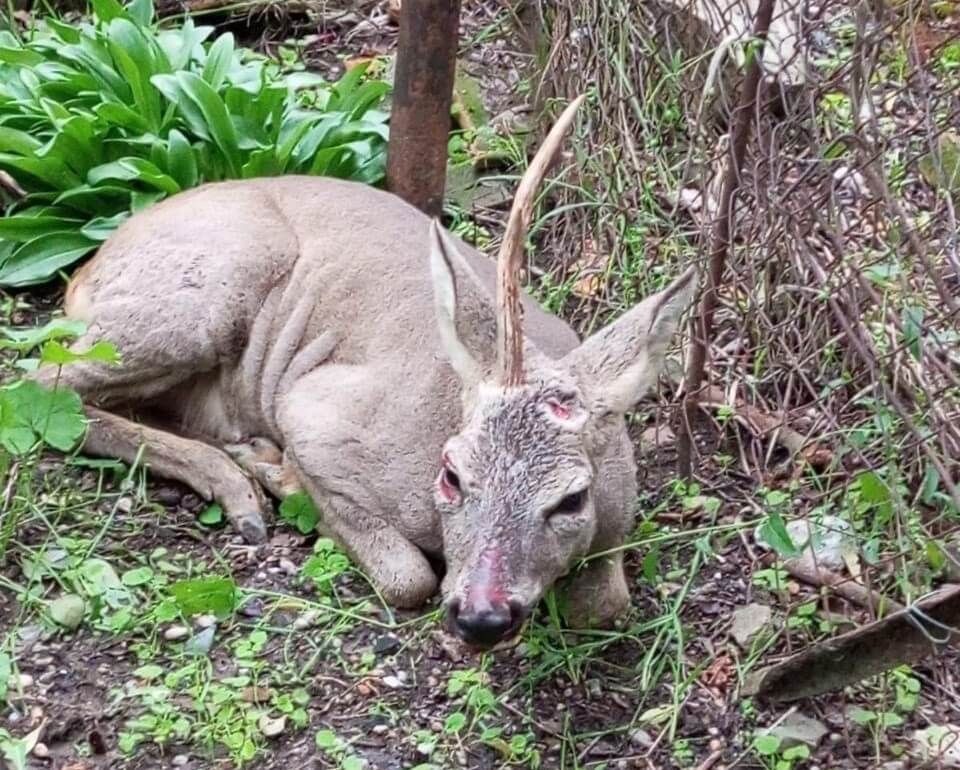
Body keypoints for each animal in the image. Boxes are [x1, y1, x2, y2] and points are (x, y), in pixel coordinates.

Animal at [31, 96, 696, 648]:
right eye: (452, 475)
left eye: (572, 499)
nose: (481, 617)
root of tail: (86, 269)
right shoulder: (316, 409)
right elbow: (407, 578)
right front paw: (287, 478)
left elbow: (604, 604)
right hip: (208, 295)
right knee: (45, 386)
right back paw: (241, 482)